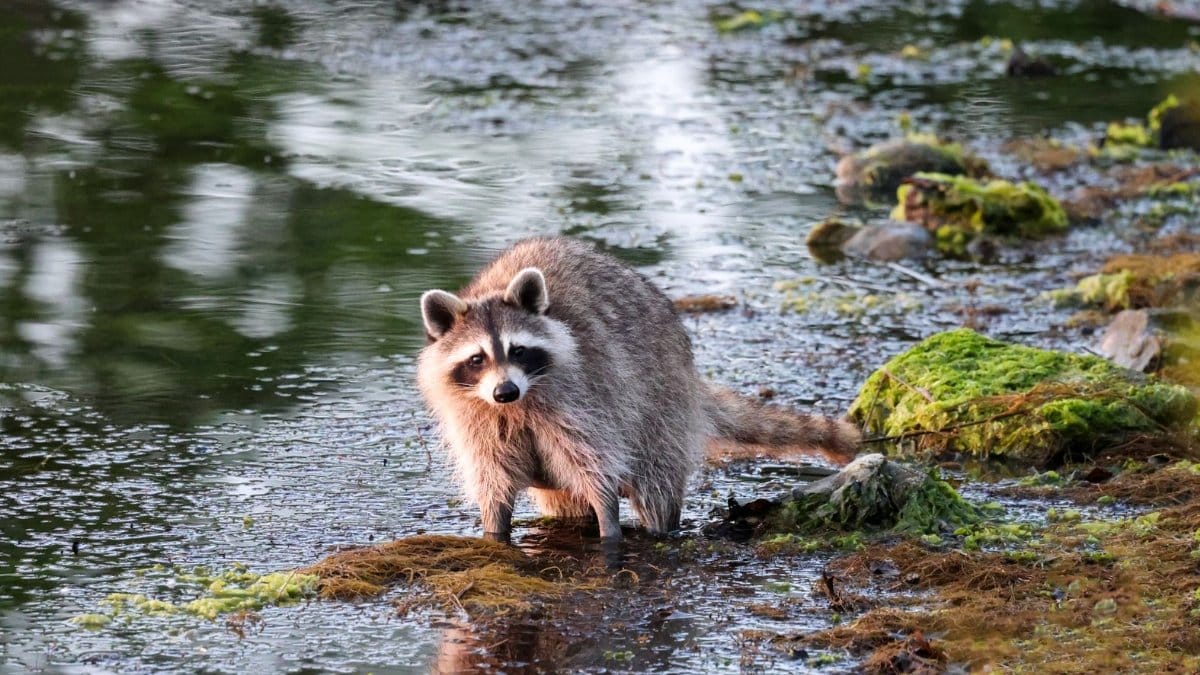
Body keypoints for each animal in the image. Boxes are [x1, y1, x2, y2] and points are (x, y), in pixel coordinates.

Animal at [417, 237, 860, 549]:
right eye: (477, 358)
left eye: (518, 350)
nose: (505, 391)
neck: (518, 406)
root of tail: (689, 376)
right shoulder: (477, 420)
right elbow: (493, 482)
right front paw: (494, 534)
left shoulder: (586, 397)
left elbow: (597, 468)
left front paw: (609, 525)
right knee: (565, 503)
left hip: (661, 403)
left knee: (656, 481)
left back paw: (661, 527)